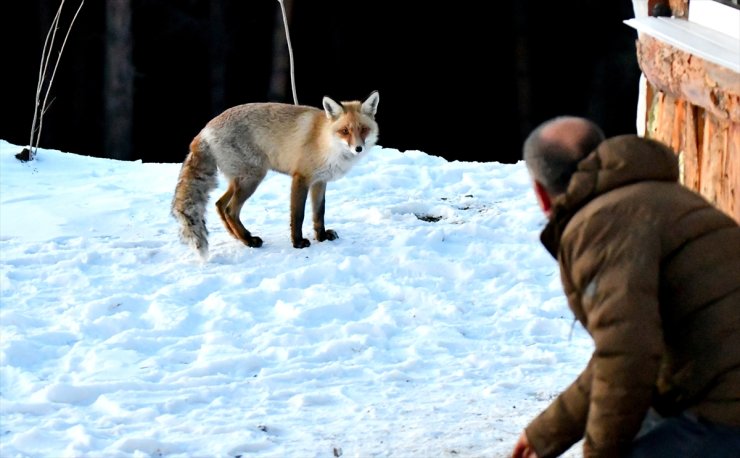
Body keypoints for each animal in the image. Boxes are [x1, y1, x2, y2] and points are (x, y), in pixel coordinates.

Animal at [172, 91, 382, 260]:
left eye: (364, 129)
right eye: (345, 131)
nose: (358, 148)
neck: (326, 142)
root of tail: (204, 130)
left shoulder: (320, 181)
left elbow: (318, 214)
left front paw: (321, 237)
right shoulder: (301, 178)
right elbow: (298, 215)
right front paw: (298, 243)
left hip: (239, 181)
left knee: (219, 205)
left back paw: (239, 237)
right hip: (252, 178)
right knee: (231, 209)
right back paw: (248, 240)